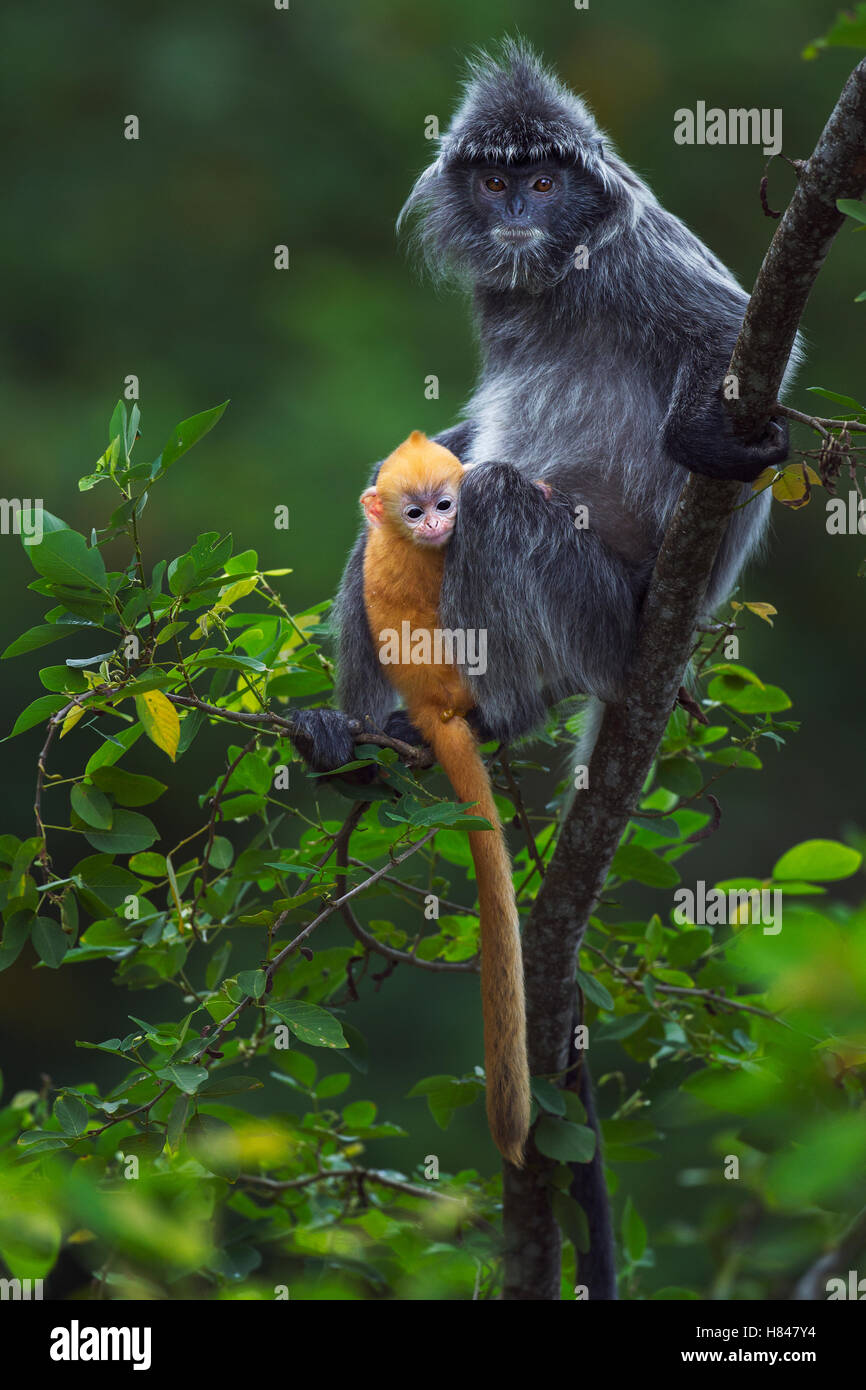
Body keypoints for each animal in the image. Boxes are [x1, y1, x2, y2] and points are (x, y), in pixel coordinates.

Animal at [289, 38, 796, 777]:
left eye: (546, 185)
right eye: (497, 185)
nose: (517, 216)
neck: (557, 273)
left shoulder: (634, 254)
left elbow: (729, 330)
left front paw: (699, 441)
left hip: (601, 616)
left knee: (494, 499)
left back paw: (499, 720)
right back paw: (354, 745)